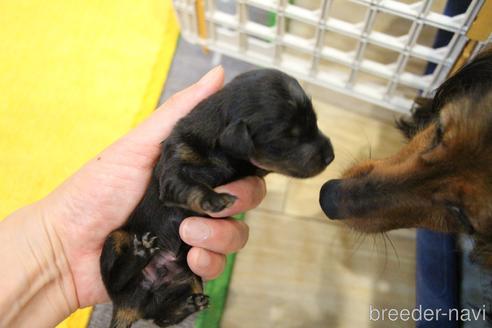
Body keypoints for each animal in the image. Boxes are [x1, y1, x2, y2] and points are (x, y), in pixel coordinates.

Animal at [100, 68, 334, 326]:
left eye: (315, 122)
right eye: (286, 138)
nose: (331, 156)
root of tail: (128, 307)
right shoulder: (176, 163)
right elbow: (186, 183)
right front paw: (216, 199)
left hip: (189, 277)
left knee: (161, 317)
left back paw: (190, 304)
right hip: (115, 241)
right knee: (116, 282)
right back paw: (139, 253)